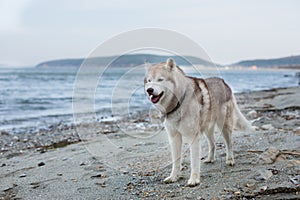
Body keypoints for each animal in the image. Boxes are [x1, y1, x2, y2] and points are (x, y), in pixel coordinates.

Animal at [144, 57, 252, 186]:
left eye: (160, 79)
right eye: (149, 81)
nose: (149, 90)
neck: (179, 101)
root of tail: (223, 82)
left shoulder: (193, 137)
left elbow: (194, 161)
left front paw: (194, 179)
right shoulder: (174, 137)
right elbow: (176, 162)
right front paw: (173, 177)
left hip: (224, 126)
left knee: (229, 144)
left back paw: (230, 160)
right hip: (207, 129)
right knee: (213, 143)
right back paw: (210, 159)